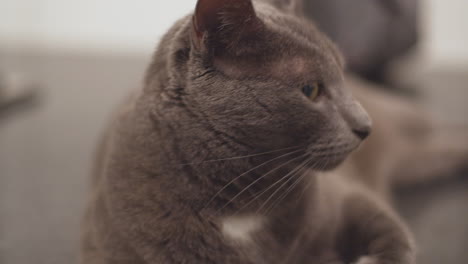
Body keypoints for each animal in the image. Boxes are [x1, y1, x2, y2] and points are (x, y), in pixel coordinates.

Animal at [80, 0, 414, 262]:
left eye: (343, 74)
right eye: (311, 89)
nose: (365, 125)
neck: (241, 205)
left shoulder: (346, 194)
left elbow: (394, 234)